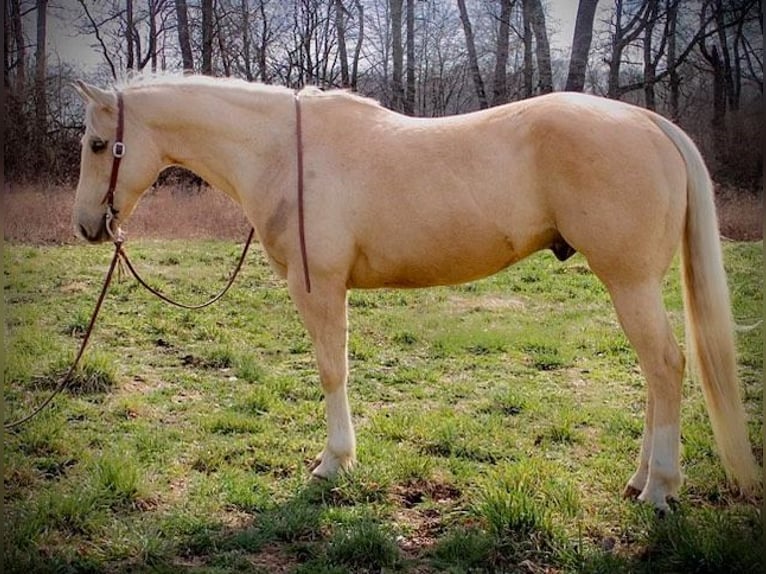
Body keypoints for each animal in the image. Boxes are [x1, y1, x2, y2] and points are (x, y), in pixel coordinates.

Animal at [73, 75, 760, 512]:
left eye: (98, 144)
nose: (87, 226)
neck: (284, 153)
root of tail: (647, 120)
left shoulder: (317, 287)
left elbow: (332, 371)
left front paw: (333, 463)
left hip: (629, 282)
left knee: (666, 367)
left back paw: (660, 488)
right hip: (632, 287)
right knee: (654, 374)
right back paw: (640, 480)